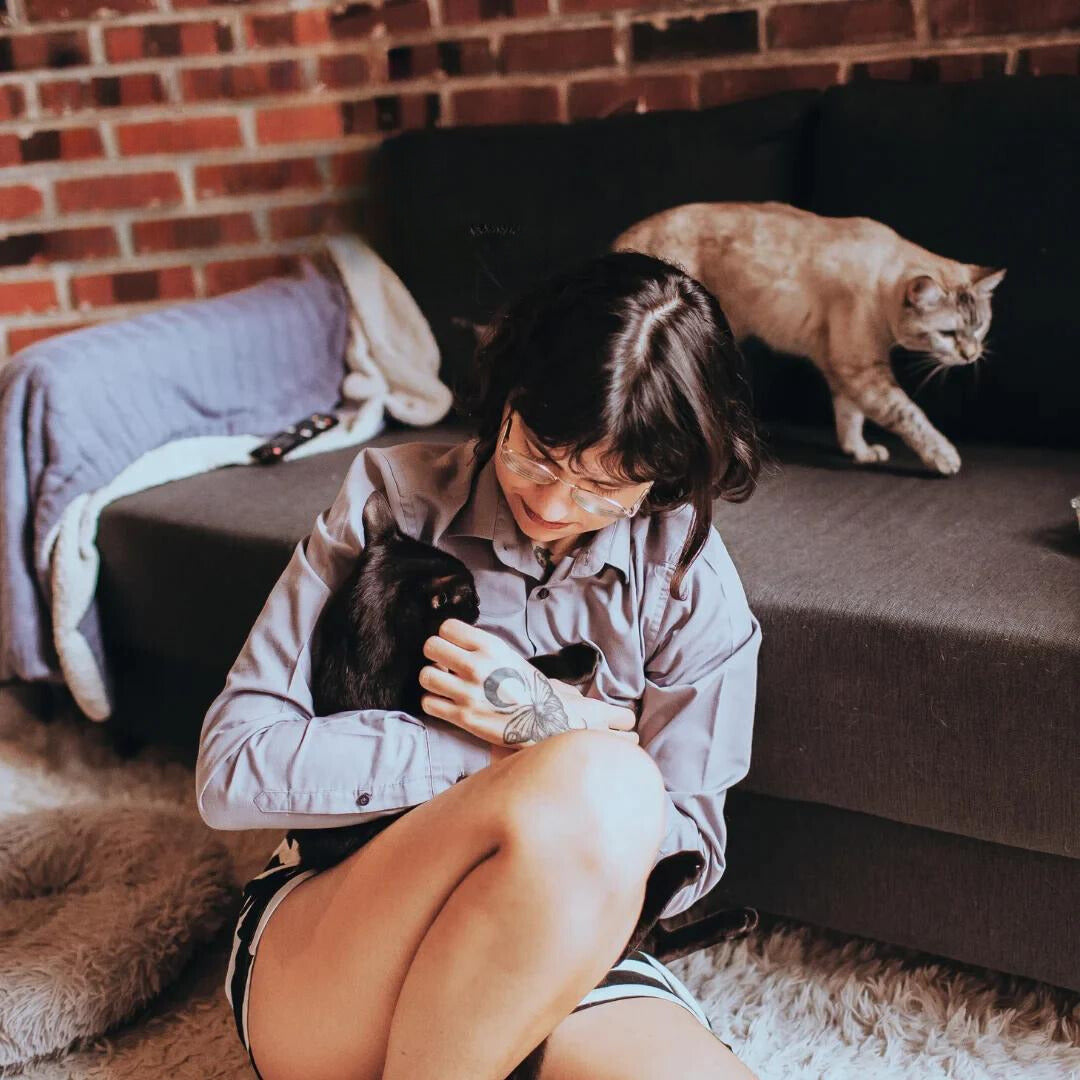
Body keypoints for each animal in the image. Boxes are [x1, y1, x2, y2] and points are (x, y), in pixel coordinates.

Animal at [611, 201, 1007, 475]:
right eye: (948, 333)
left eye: (979, 327)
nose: (971, 355)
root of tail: (625, 238)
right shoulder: (861, 367)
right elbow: (910, 414)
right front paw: (944, 457)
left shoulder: (844, 369)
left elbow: (850, 416)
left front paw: (859, 452)